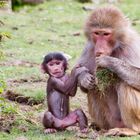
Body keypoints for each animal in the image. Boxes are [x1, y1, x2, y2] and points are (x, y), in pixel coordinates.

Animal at [77, 6, 140, 136]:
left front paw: (108, 61)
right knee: (94, 88)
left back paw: (132, 130)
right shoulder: (90, 47)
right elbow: (85, 80)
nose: (99, 49)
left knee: (125, 85)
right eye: (97, 33)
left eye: (106, 34)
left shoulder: (132, 46)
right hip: (110, 121)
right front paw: (84, 78)